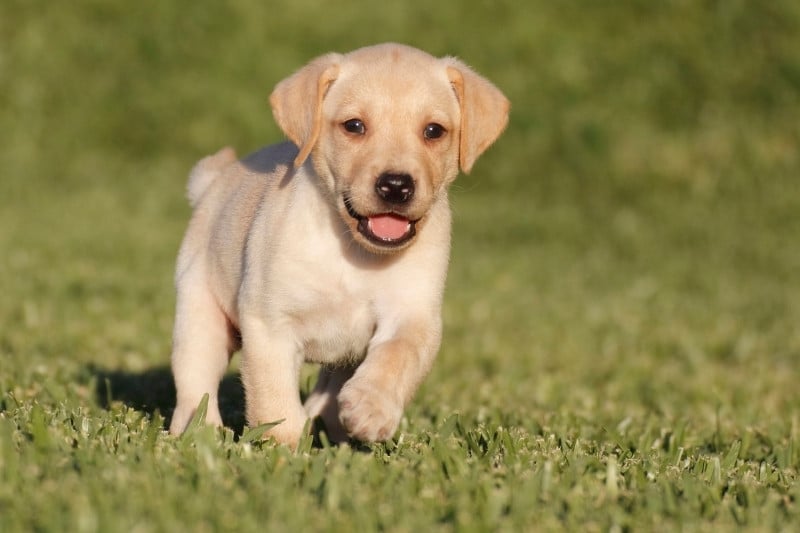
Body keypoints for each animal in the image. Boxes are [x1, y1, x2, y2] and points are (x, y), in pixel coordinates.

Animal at [170, 43, 510, 446]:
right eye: (354, 126)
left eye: (434, 131)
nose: (396, 185)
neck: (355, 251)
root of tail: (216, 179)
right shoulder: (269, 323)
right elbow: (274, 399)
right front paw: (284, 449)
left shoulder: (414, 314)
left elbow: (397, 356)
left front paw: (371, 409)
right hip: (200, 313)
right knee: (196, 382)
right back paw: (199, 435)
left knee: (328, 390)